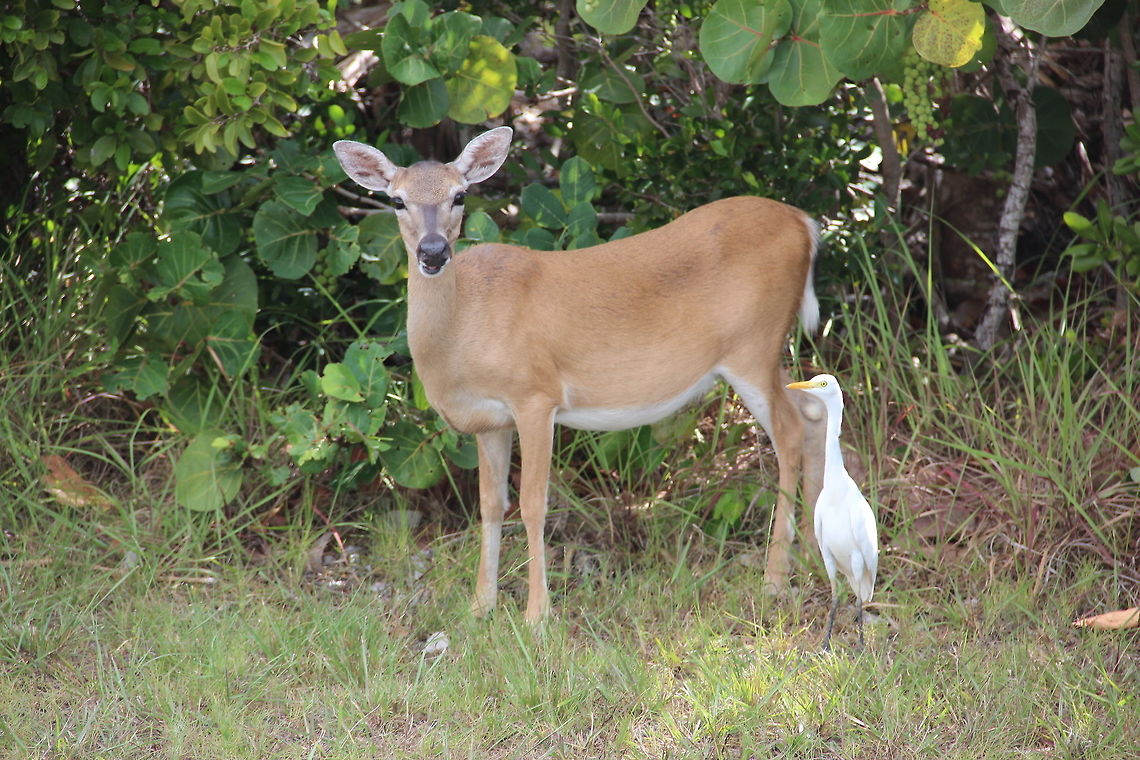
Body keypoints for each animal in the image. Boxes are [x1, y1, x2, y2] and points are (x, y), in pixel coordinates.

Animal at [333, 126, 826, 623]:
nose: (433, 252)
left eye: (460, 195)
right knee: (812, 411)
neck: (461, 334)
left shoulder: (535, 394)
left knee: (789, 431)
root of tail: (804, 223)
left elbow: (532, 504)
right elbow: (490, 506)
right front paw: (480, 607)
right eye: (397, 200)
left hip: (753, 343)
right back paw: (811, 555)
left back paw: (774, 579)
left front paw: (537, 616)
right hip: (767, 352)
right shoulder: (489, 421)